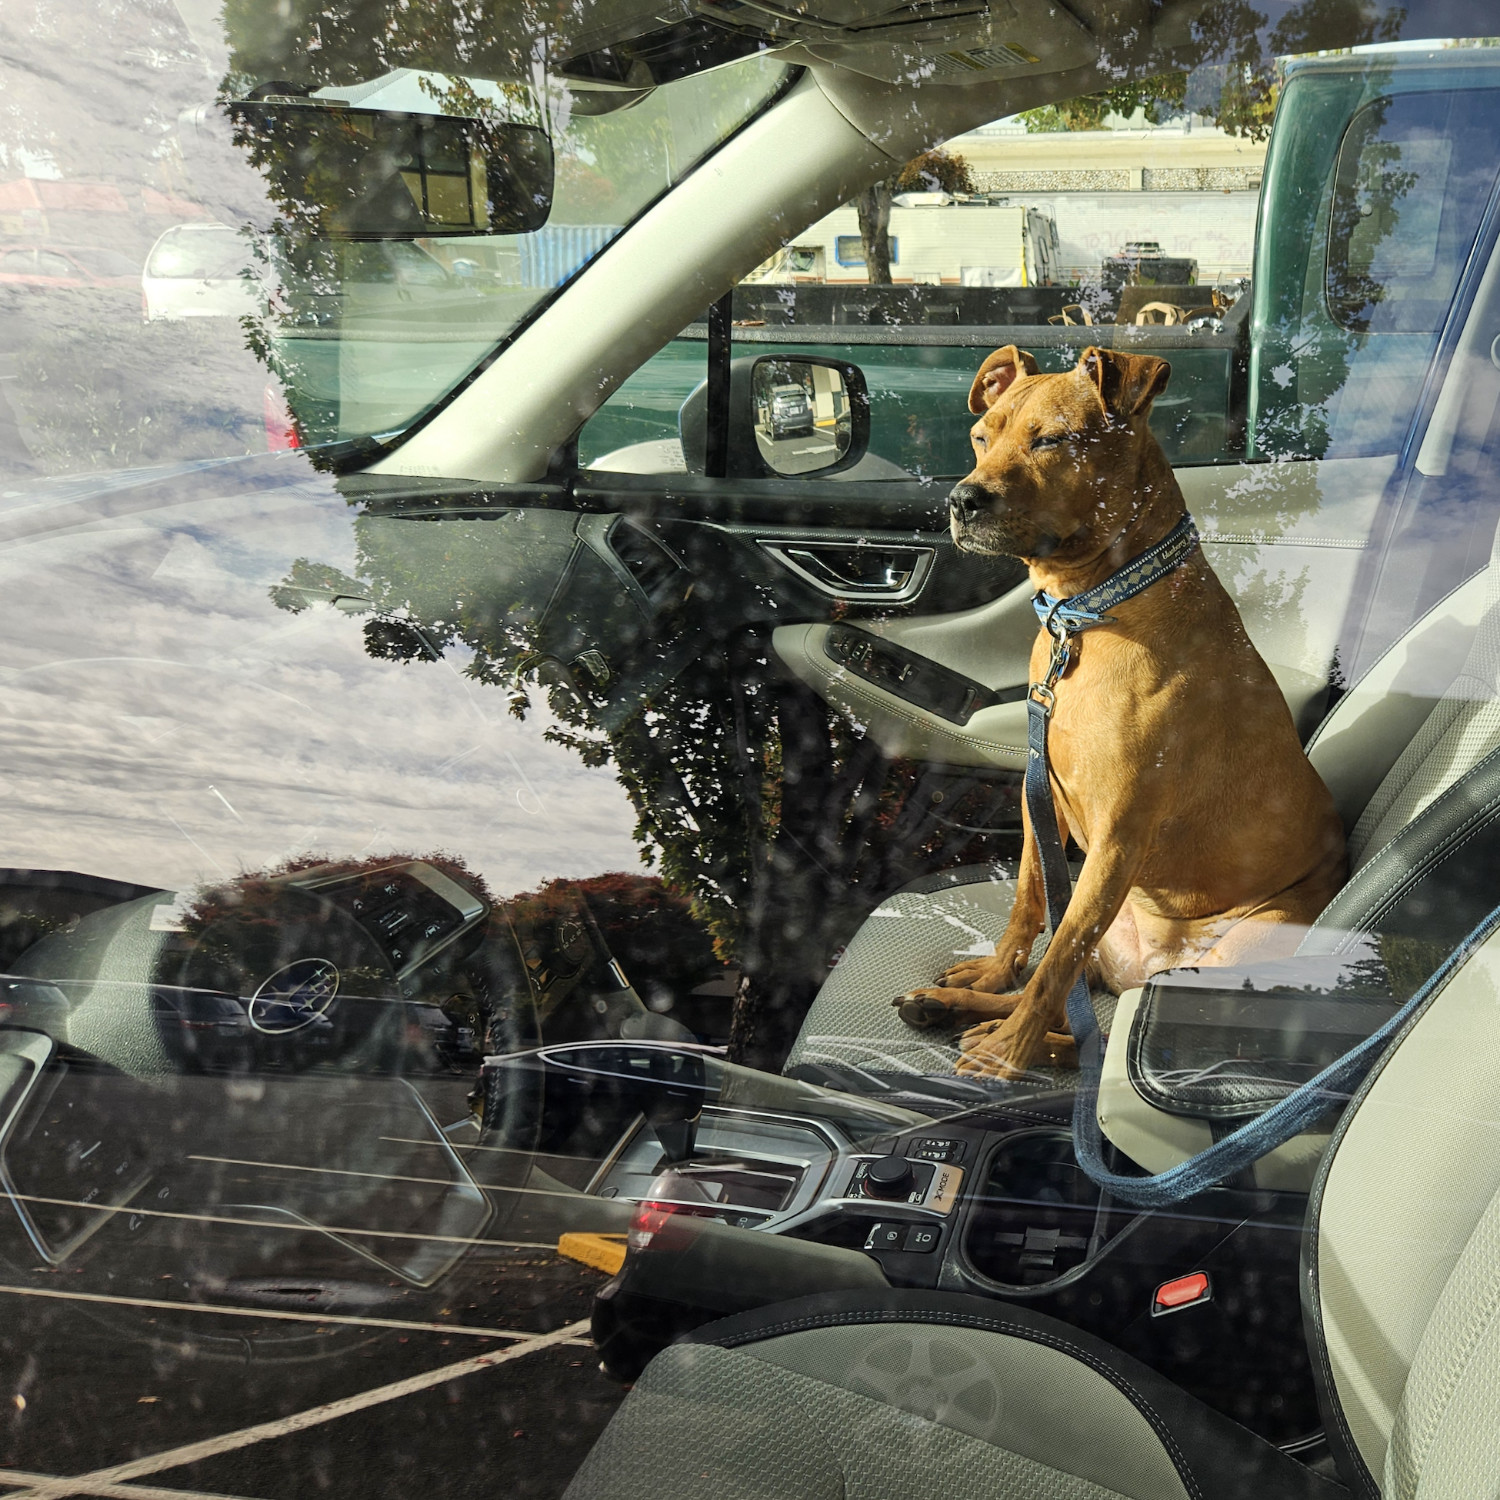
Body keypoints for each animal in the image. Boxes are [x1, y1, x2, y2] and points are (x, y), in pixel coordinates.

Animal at [888, 348, 1350, 1080]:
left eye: (1052, 440)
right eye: (982, 436)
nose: (962, 500)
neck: (1091, 614)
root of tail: (1150, 967)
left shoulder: (1118, 836)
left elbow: (1054, 961)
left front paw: (1008, 1053)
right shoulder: (1039, 803)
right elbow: (1030, 906)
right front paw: (991, 976)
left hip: (1223, 967)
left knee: (1098, 1038)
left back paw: (1005, 1041)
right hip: (1114, 929)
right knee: (1077, 1006)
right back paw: (952, 1005)